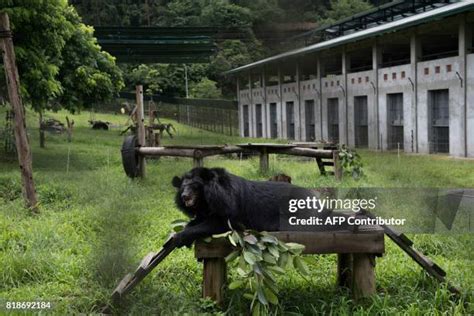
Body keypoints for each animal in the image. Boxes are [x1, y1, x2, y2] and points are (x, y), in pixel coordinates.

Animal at [171, 167, 334, 248]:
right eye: (183, 188)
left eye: (195, 186)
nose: (185, 197)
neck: (207, 200)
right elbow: (198, 220)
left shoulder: (229, 207)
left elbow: (219, 223)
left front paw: (180, 238)